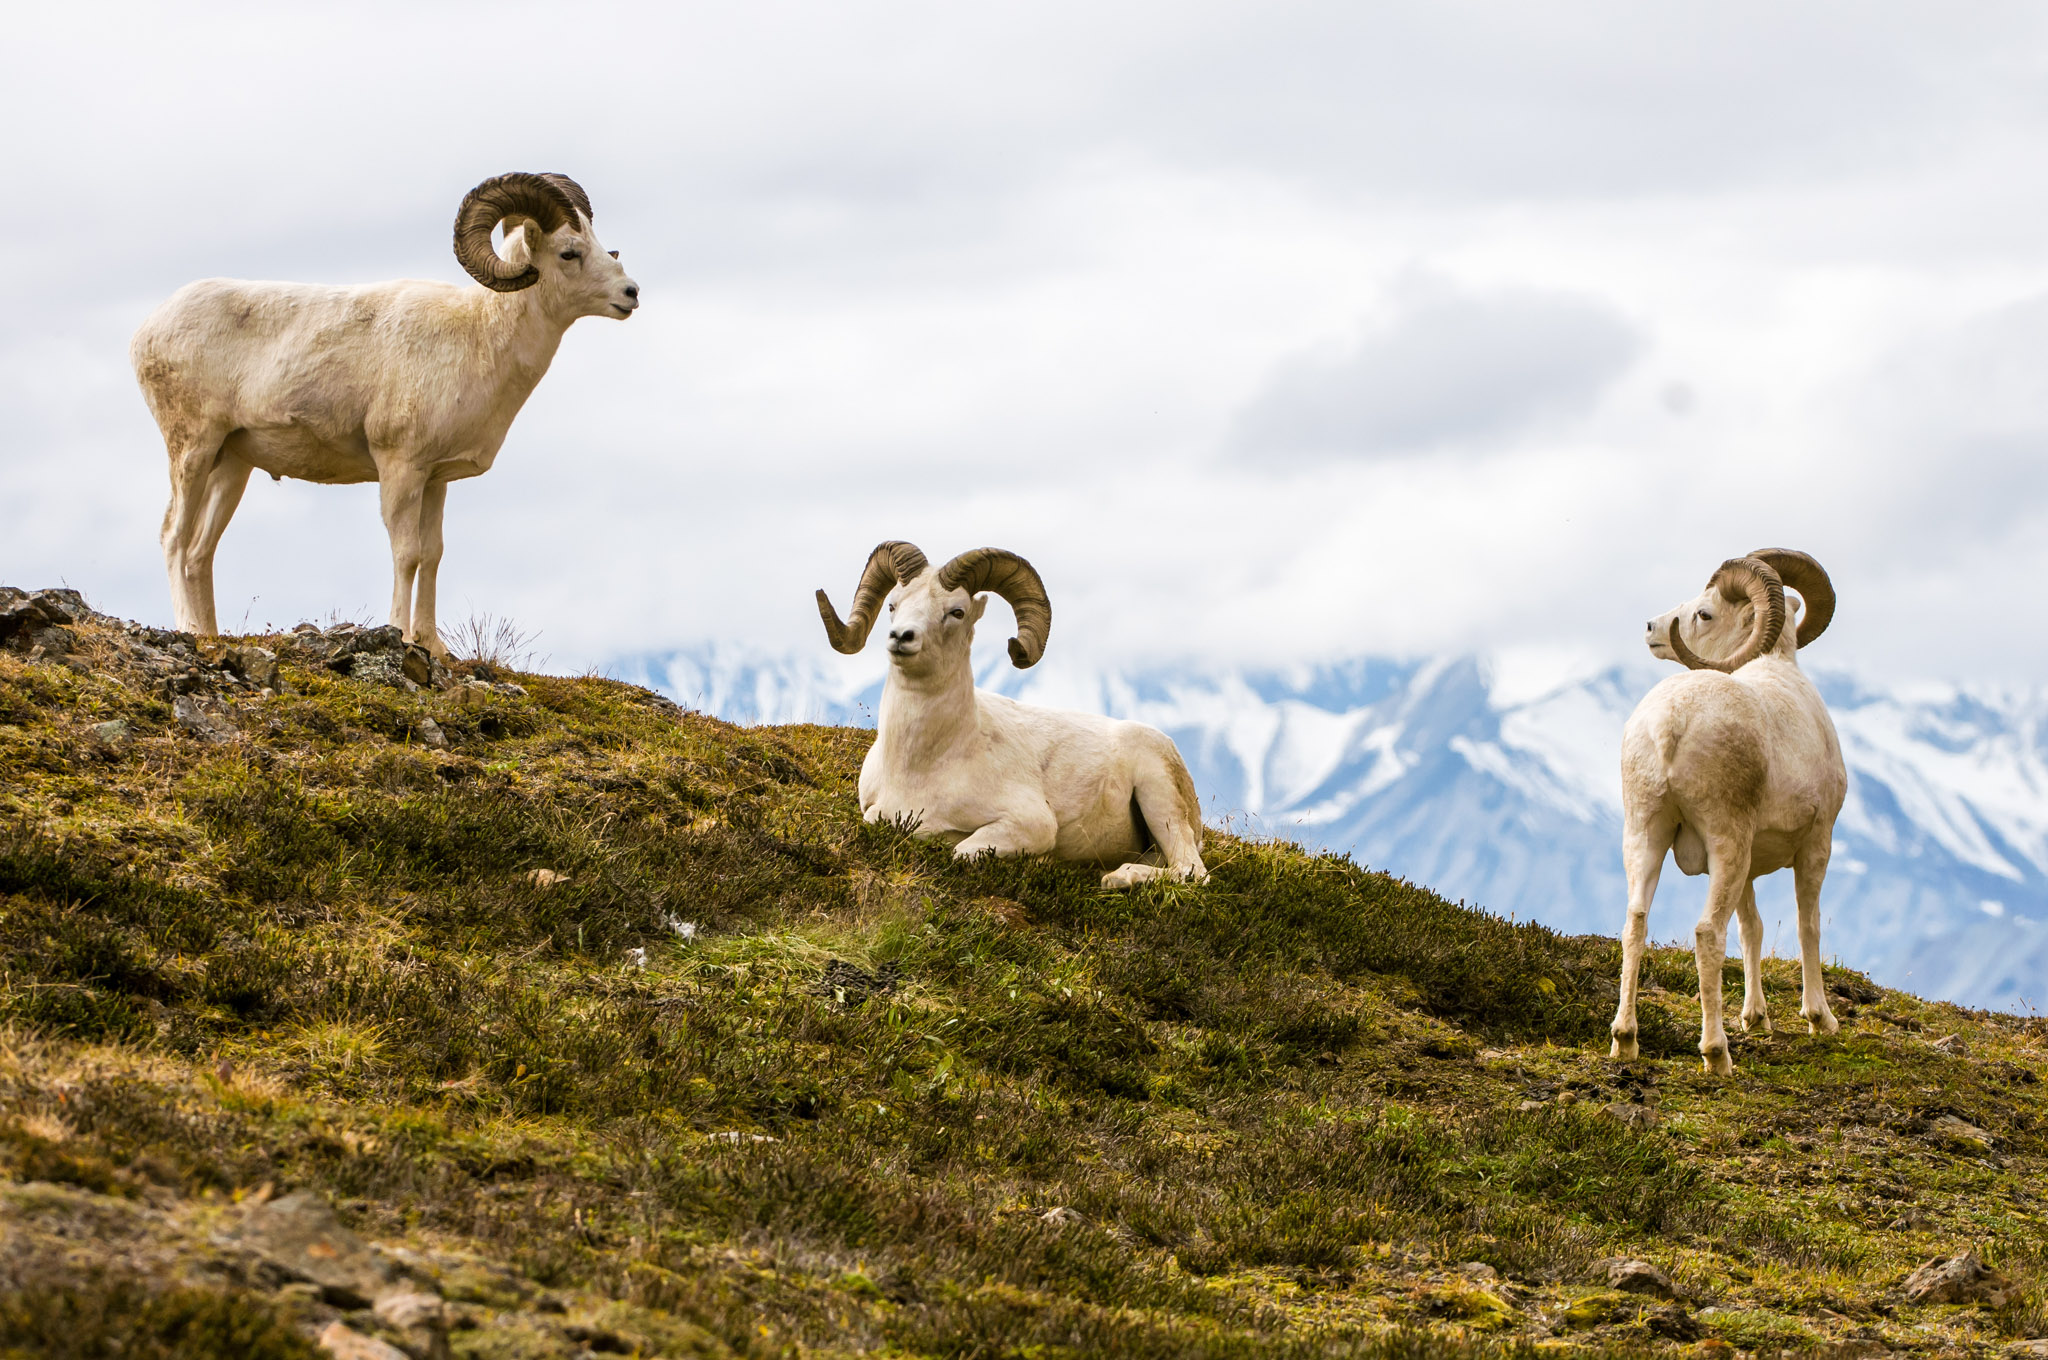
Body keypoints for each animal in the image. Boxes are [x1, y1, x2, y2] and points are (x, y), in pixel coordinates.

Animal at [131, 173, 639, 654]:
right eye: (569, 253)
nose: (631, 293)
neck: (479, 337)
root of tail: (146, 330)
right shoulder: (400, 467)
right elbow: (406, 553)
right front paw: (400, 633)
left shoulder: (435, 479)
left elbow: (433, 555)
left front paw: (431, 645)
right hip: (192, 449)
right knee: (174, 538)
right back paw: (190, 628)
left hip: (232, 465)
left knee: (200, 553)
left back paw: (209, 634)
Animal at [817, 541, 1210, 889]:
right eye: (893, 606)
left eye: (956, 612)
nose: (901, 637)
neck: (920, 765)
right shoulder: (875, 812)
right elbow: (876, 819)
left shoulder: (1030, 824)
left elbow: (962, 851)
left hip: (1160, 800)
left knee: (1191, 871)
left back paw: (1117, 878)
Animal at [1609, 548, 1845, 1076]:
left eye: (1704, 613)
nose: (1652, 628)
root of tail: (1670, 723)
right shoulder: (1815, 845)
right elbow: (1808, 924)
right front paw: (1820, 1020)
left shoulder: (1749, 868)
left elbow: (1751, 928)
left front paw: (1756, 1019)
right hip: (1725, 841)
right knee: (1706, 933)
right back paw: (1717, 1055)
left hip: (1646, 834)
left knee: (1635, 922)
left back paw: (1625, 1041)